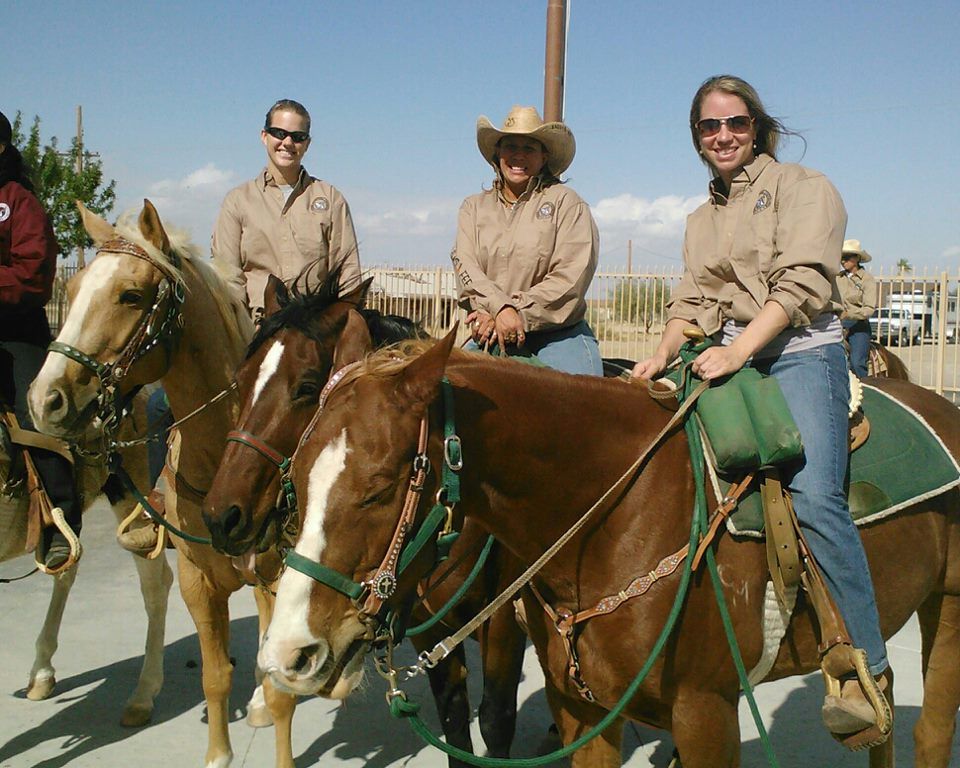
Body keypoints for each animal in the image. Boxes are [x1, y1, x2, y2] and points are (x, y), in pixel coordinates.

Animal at [256, 332, 960, 768]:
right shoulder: (581, 709)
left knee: (929, 732)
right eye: (296, 477)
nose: (288, 654)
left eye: (378, 489)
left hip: (947, 610)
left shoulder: (707, 713)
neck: (622, 513)